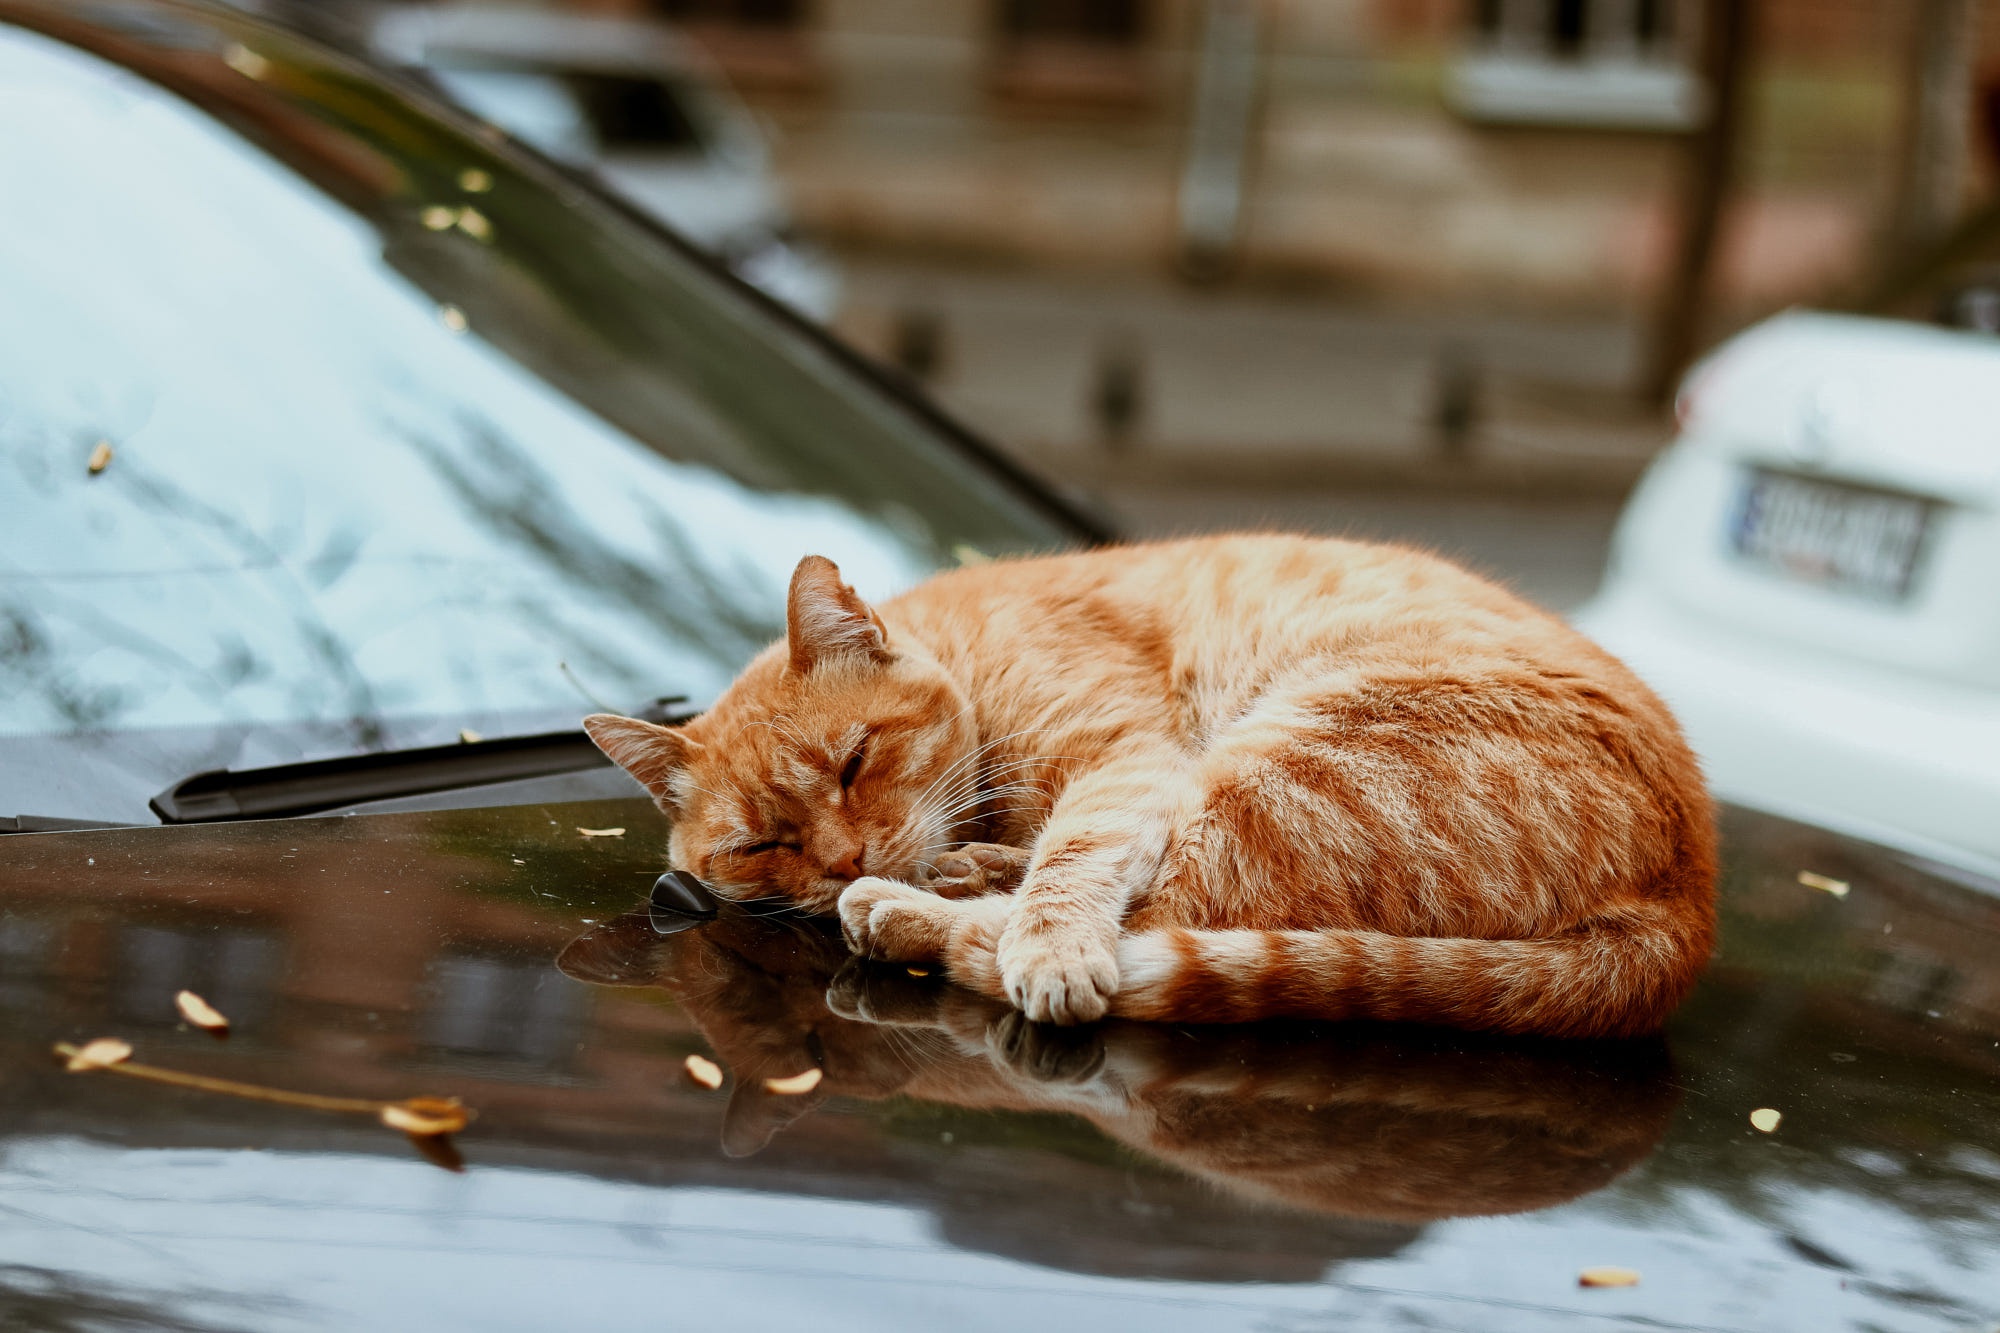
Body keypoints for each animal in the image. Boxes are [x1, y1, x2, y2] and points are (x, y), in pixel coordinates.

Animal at [584, 532, 1720, 1040]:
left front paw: (1031, 924)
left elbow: (1076, 864)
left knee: (1154, 923)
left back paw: (914, 909)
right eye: (760, 845)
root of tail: (1687, 891)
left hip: (1288, 764)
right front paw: (974, 859)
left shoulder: (1127, 760)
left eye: (855, 760)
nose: (843, 856)